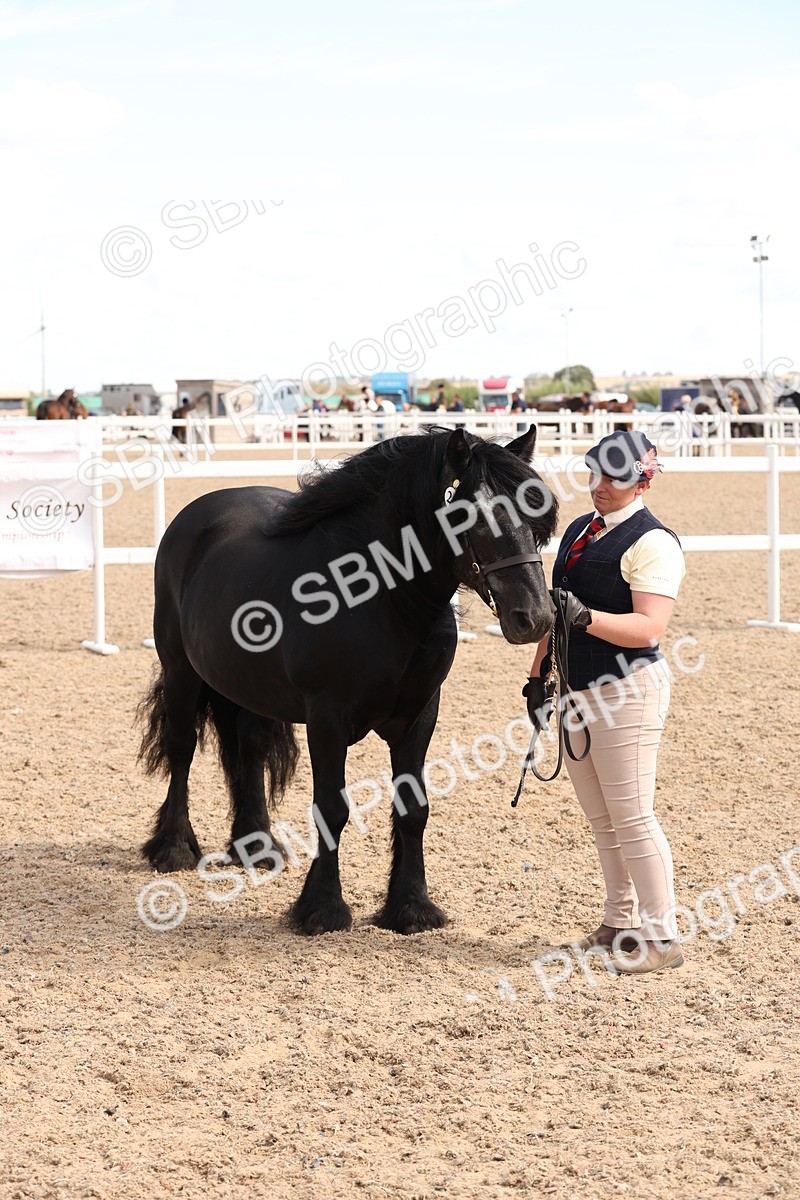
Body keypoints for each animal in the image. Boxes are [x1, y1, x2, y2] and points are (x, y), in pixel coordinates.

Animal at [138, 426, 558, 935]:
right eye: (469, 515)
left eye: (536, 514)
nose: (535, 617)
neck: (379, 600)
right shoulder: (327, 720)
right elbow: (332, 808)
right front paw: (322, 908)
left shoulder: (421, 716)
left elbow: (414, 808)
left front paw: (411, 907)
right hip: (180, 669)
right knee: (181, 747)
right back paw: (174, 847)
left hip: (251, 689)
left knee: (251, 748)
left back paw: (257, 846)